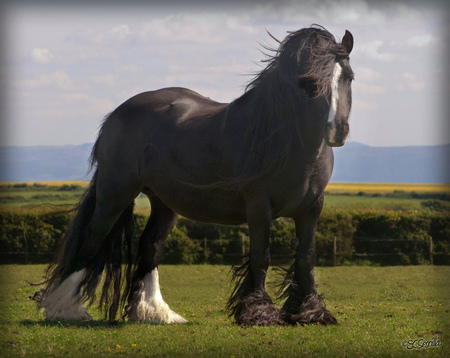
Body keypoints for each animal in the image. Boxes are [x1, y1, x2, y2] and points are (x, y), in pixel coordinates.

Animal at [38, 25, 354, 328]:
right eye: (311, 84)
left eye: (348, 77)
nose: (337, 130)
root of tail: (116, 114)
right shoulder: (258, 207)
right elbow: (260, 257)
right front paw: (258, 313)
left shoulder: (311, 209)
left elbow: (306, 258)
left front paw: (311, 312)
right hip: (115, 193)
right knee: (92, 238)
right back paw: (66, 309)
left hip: (164, 202)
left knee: (150, 245)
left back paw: (154, 312)